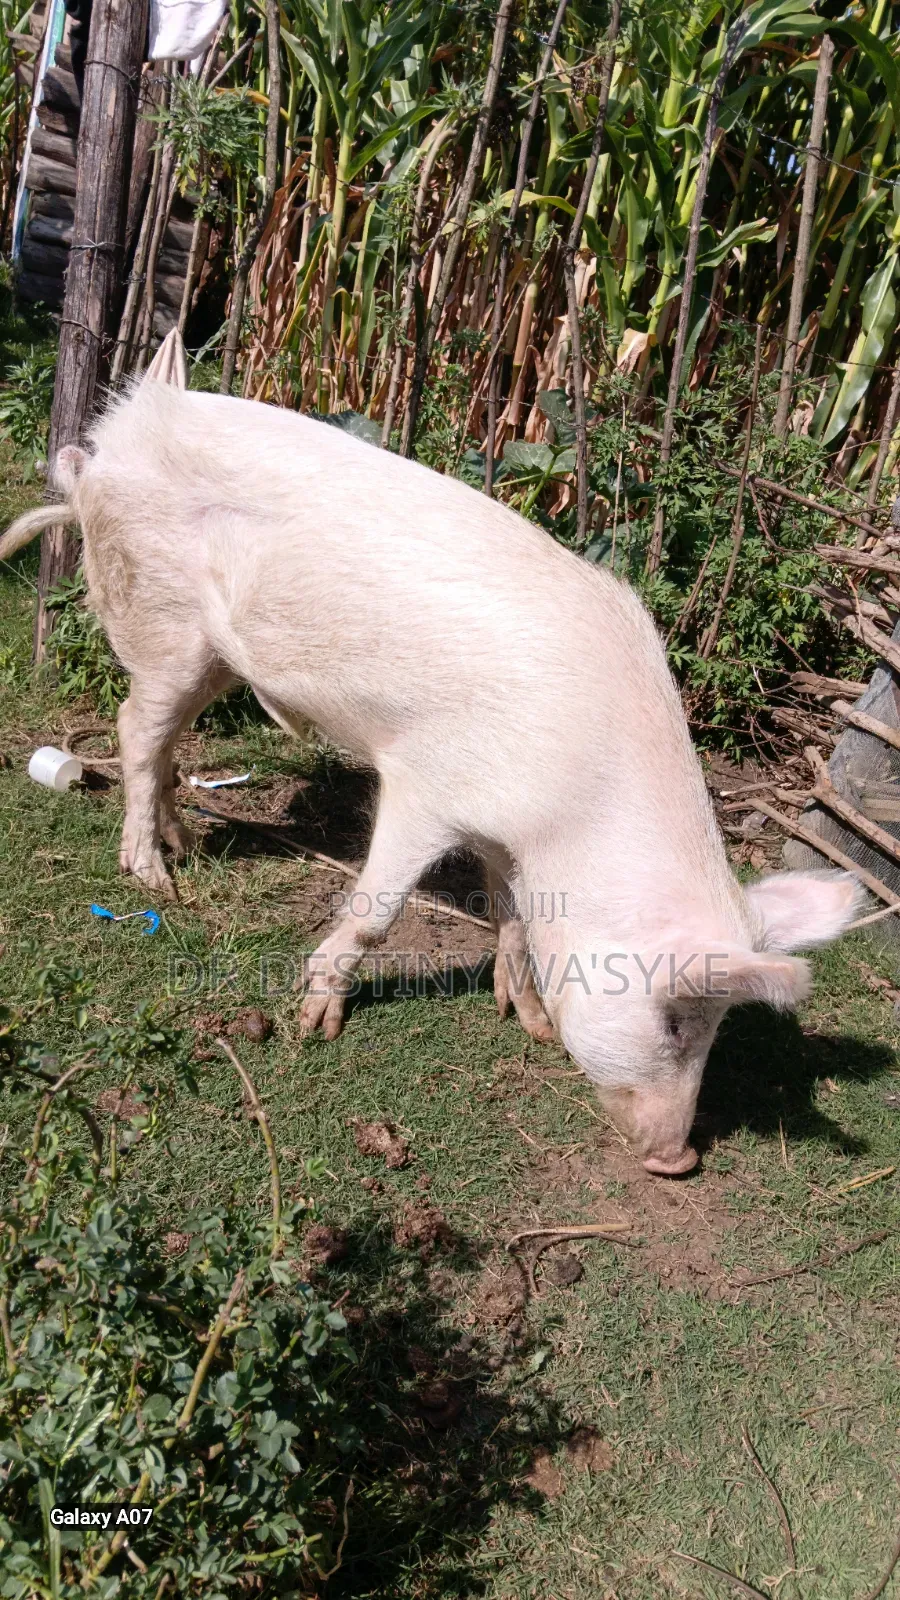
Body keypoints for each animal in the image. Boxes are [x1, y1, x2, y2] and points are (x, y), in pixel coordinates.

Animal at [1, 341, 864, 1174]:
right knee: (136, 730)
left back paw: (183, 846)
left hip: (209, 655)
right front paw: (316, 1023)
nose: (679, 1159)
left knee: (167, 738)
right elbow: (378, 911)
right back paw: (153, 876)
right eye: (679, 1021)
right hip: (162, 623)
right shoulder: (425, 786)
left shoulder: (503, 829)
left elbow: (513, 917)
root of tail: (117, 433)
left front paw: (528, 1021)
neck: (572, 814)